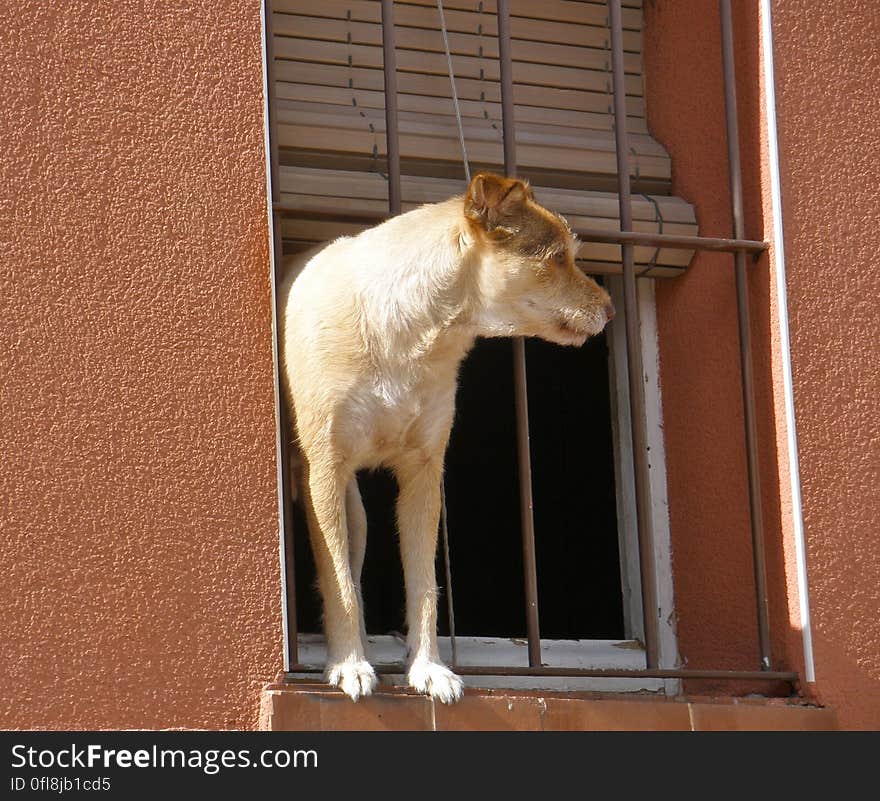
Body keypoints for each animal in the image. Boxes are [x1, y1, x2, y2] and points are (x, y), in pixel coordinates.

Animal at [278, 173, 616, 700]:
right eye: (558, 257)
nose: (611, 309)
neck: (413, 339)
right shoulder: (325, 469)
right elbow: (338, 583)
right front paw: (348, 664)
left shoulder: (422, 474)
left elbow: (424, 584)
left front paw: (428, 669)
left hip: (356, 513)